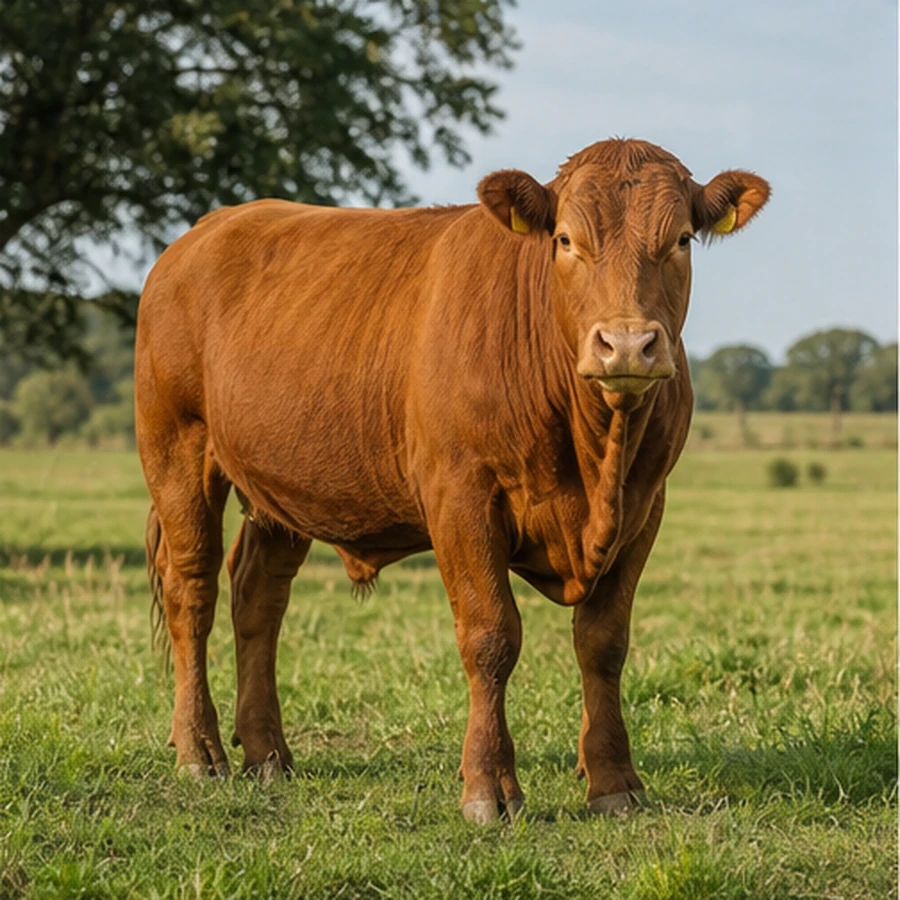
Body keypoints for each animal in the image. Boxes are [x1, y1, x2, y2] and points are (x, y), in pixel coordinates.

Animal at [135, 138, 769, 824]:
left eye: (680, 239)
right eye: (566, 240)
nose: (626, 344)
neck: (594, 451)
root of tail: (207, 229)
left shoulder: (644, 506)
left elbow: (603, 643)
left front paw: (614, 781)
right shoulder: (461, 496)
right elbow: (491, 636)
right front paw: (489, 787)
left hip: (281, 485)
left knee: (257, 593)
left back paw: (267, 753)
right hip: (177, 448)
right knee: (192, 590)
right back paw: (200, 751)